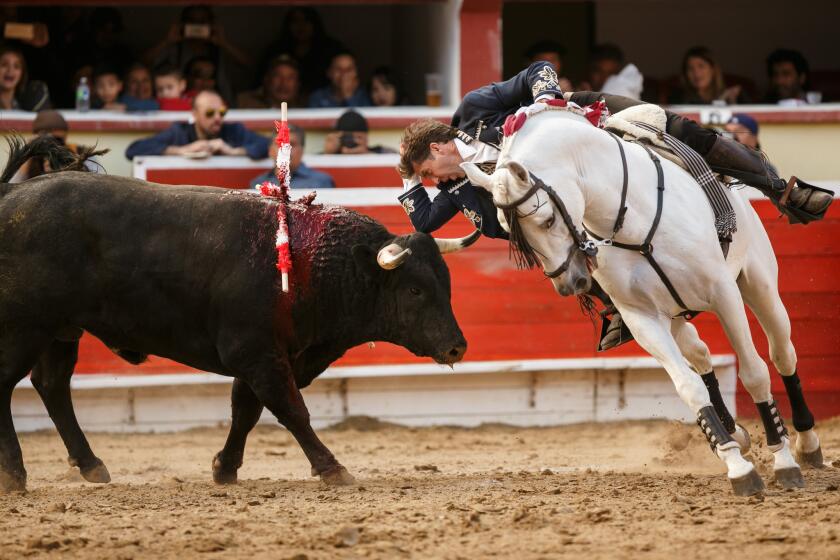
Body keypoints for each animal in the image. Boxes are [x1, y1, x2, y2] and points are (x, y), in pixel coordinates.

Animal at [0, 161, 472, 490]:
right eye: (414, 290)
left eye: (447, 284)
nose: (456, 347)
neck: (312, 262)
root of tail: (11, 194)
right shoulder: (255, 352)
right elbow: (290, 409)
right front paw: (332, 468)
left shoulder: (270, 354)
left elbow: (246, 411)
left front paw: (224, 469)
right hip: (24, 327)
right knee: (9, 384)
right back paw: (16, 475)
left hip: (61, 330)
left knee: (52, 385)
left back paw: (92, 466)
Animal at [466, 108, 828, 494]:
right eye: (507, 228)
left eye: (547, 220)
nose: (571, 283)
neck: (628, 218)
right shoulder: (641, 318)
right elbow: (689, 388)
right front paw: (737, 467)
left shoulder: (723, 293)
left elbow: (755, 373)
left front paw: (783, 462)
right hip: (676, 316)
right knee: (701, 355)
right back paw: (735, 433)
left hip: (760, 285)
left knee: (781, 353)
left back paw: (807, 444)